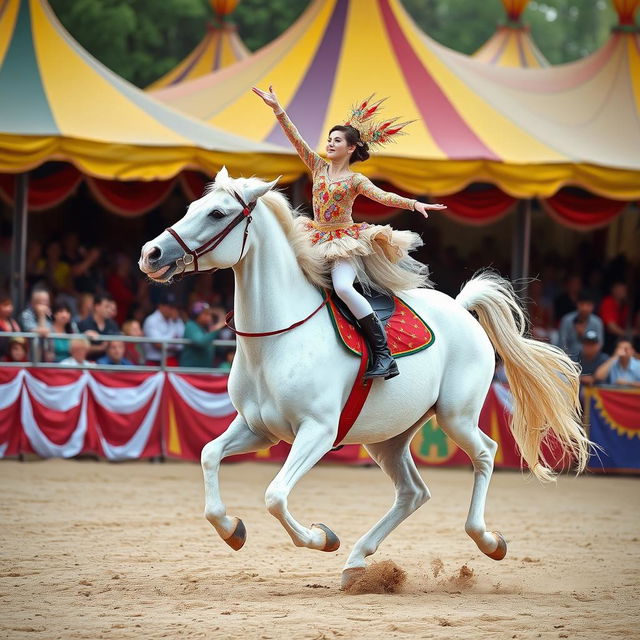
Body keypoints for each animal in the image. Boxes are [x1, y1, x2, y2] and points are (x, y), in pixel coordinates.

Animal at [140, 168, 592, 588]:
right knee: (413, 492)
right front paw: (233, 529)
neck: (277, 339)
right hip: (389, 438)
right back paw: (357, 563)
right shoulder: (258, 429)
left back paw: (488, 540)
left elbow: (275, 496)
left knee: (485, 453)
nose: (151, 253)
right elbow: (209, 456)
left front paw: (322, 537)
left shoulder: (318, 432)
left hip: (456, 417)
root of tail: (462, 309)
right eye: (190, 208)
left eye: (217, 213)